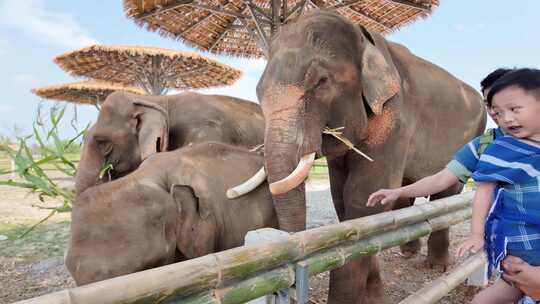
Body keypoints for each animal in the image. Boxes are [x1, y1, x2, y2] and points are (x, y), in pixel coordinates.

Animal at [228, 10, 486, 302]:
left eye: (321, 82)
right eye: (258, 92)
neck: (365, 37)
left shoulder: (395, 116)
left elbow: (364, 196)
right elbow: (342, 199)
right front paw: (374, 294)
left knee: (446, 194)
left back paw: (436, 266)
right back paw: (408, 253)